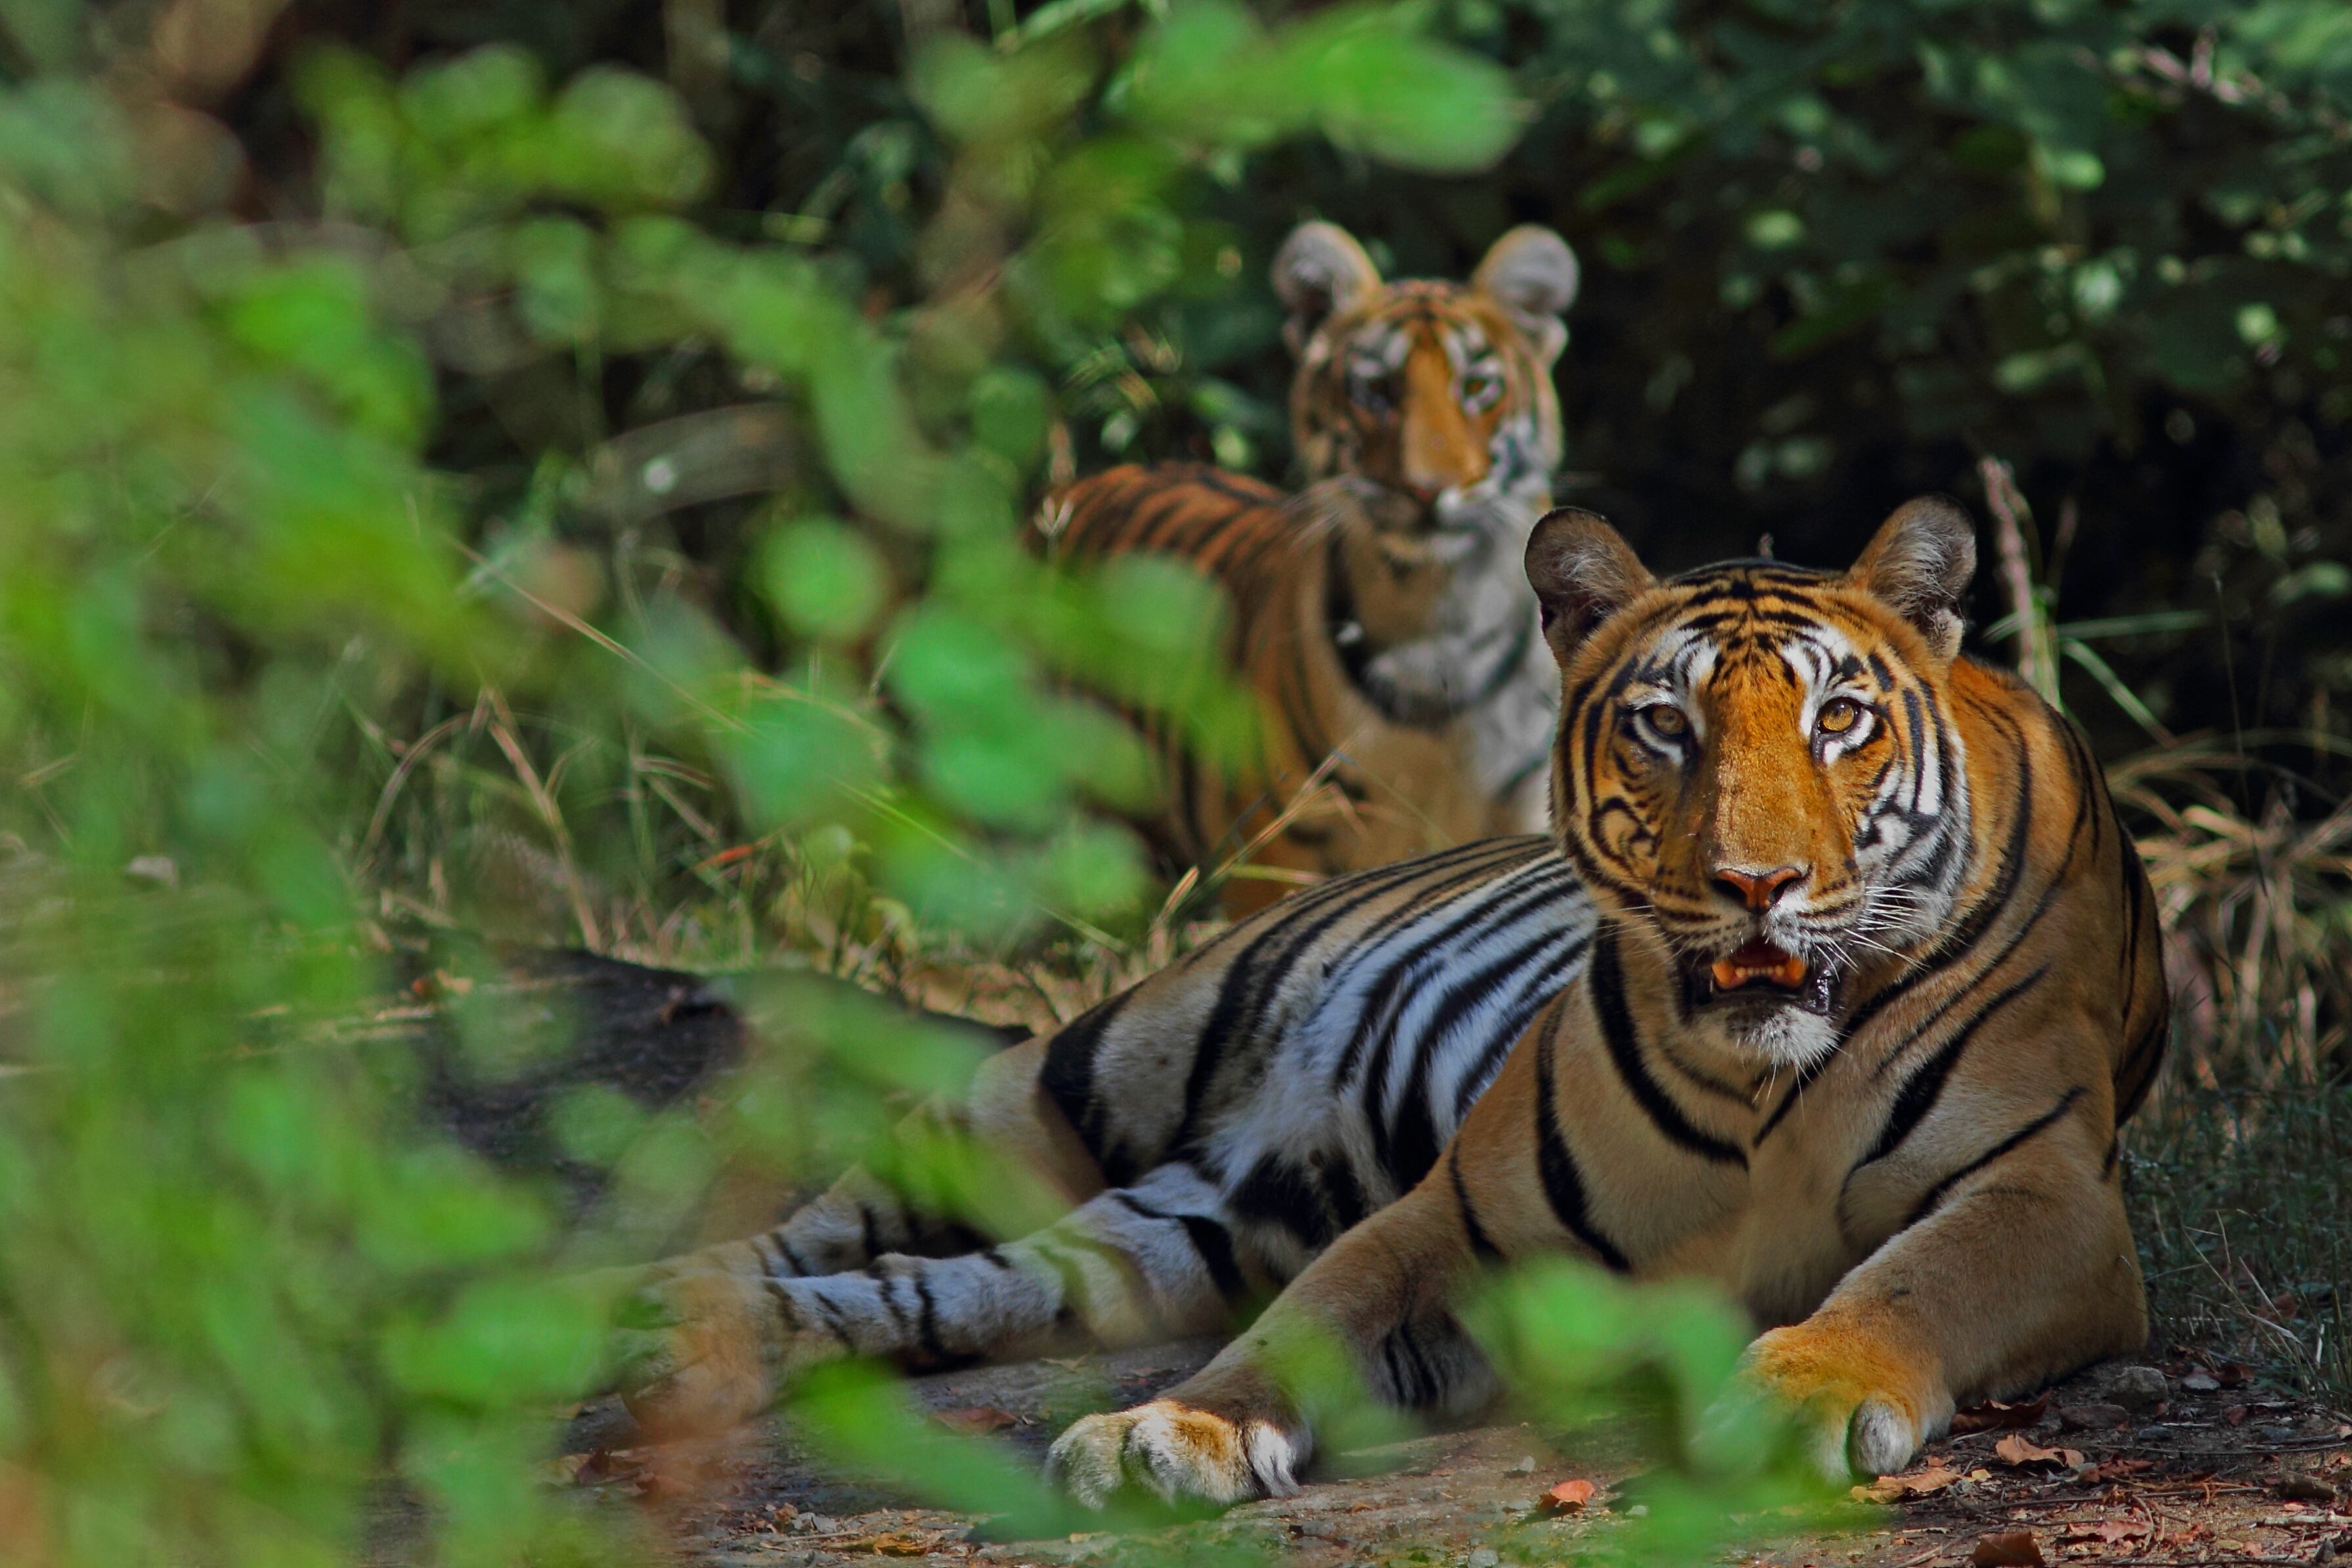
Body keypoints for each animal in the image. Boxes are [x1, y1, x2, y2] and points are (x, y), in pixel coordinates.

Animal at [621, 496, 2164, 1504]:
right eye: (1666, 725)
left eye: (1838, 719)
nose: (1755, 881)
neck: (1764, 1086)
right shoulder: (1465, 1217)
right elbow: (1307, 1317)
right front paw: (1167, 1432)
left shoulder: (2047, 1198)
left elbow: (1911, 1276)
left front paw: (1802, 1394)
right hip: (1064, 1080)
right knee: (830, 1220)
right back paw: (654, 1302)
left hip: (1162, 1236)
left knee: (954, 1284)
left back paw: (704, 1339)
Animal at [1044, 217, 1580, 907]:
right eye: (1376, 390)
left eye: (1476, 388)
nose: (1427, 488)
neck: (1437, 622)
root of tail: (1071, 490)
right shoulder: (1283, 851)